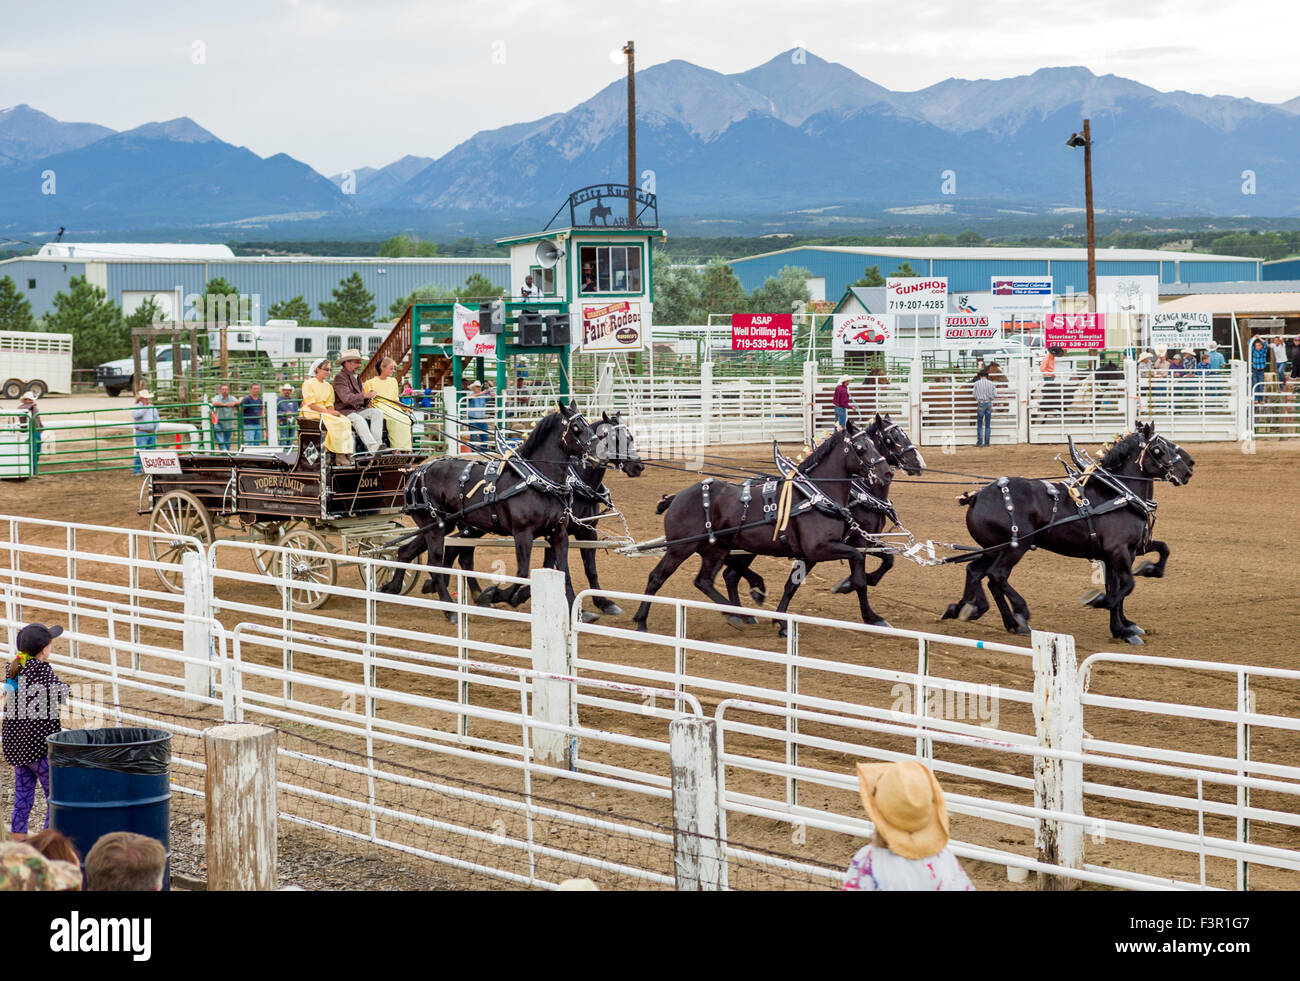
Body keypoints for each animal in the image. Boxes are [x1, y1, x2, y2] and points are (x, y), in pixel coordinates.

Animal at [377, 400, 598, 621]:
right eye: (576, 427)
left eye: (587, 423)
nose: (598, 451)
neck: (536, 480)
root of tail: (417, 472)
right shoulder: (523, 533)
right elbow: (522, 573)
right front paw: (494, 594)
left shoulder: (557, 533)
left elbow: (564, 573)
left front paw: (577, 613)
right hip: (434, 527)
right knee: (434, 563)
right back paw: (449, 609)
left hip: (439, 525)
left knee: (405, 552)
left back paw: (390, 588)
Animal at [629, 420, 894, 636]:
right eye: (860, 447)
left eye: (875, 444)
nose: (886, 472)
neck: (815, 495)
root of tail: (677, 497)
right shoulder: (821, 548)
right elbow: (858, 572)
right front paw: (871, 613)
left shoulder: (811, 553)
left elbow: (791, 586)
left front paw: (782, 623)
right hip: (680, 548)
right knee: (657, 577)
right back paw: (642, 621)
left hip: (715, 549)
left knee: (705, 581)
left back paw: (737, 614)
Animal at [941, 420, 1190, 644]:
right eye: (1160, 447)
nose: (1189, 467)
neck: (1118, 494)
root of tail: (977, 497)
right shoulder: (1118, 551)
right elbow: (1125, 587)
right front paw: (1103, 606)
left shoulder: (1121, 553)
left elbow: (1157, 554)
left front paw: (1124, 623)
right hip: (1016, 547)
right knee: (996, 576)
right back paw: (1019, 613)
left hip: (993, 548)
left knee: (976, 572)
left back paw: (974, 611)